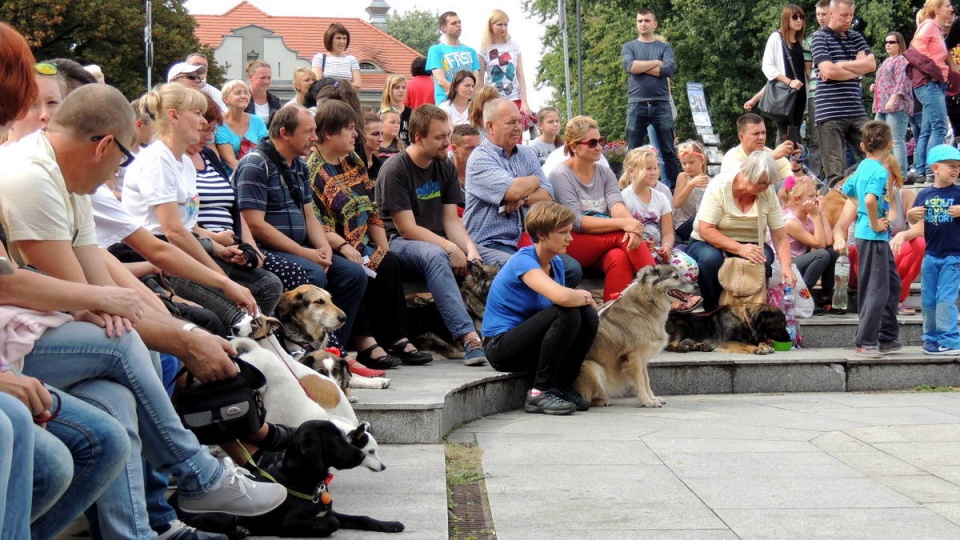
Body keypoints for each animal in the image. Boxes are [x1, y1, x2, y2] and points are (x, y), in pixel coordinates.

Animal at [572, 264, 700, 408]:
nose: (697, 286)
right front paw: (647, 401)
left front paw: (653, 398)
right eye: (675, 277)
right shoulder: (634, 356)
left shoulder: (642, 358)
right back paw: (601, 401)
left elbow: (646, 380)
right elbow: (640, 381)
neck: (647, 302)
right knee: (587, 398)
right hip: (592, 367)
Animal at [664, 302, 792, 356]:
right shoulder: (728, 341)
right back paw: (681, 348)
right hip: (683, 326)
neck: (745, 320)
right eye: (783, 324)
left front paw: (765, 346)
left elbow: (760, 341)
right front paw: (757, 349)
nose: (789, 340)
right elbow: (746, 345)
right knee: (670, 345)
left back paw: (701, 346)